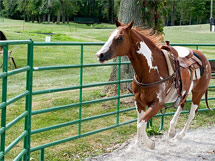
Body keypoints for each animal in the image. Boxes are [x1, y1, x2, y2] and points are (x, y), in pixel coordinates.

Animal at [96, 20, 212, 150]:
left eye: (120, 38)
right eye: (109, 35)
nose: (100, 55)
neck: (151, 70)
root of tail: (203, 58)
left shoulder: (157, 104)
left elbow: (141, 123)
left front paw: (150, 144)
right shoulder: (139, 102)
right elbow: (139, 121)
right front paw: (138, 144)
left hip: (198, 92)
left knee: (192, 113)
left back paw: (179, 136)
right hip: (184, 92)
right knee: (181, 105)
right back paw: (172, 131)